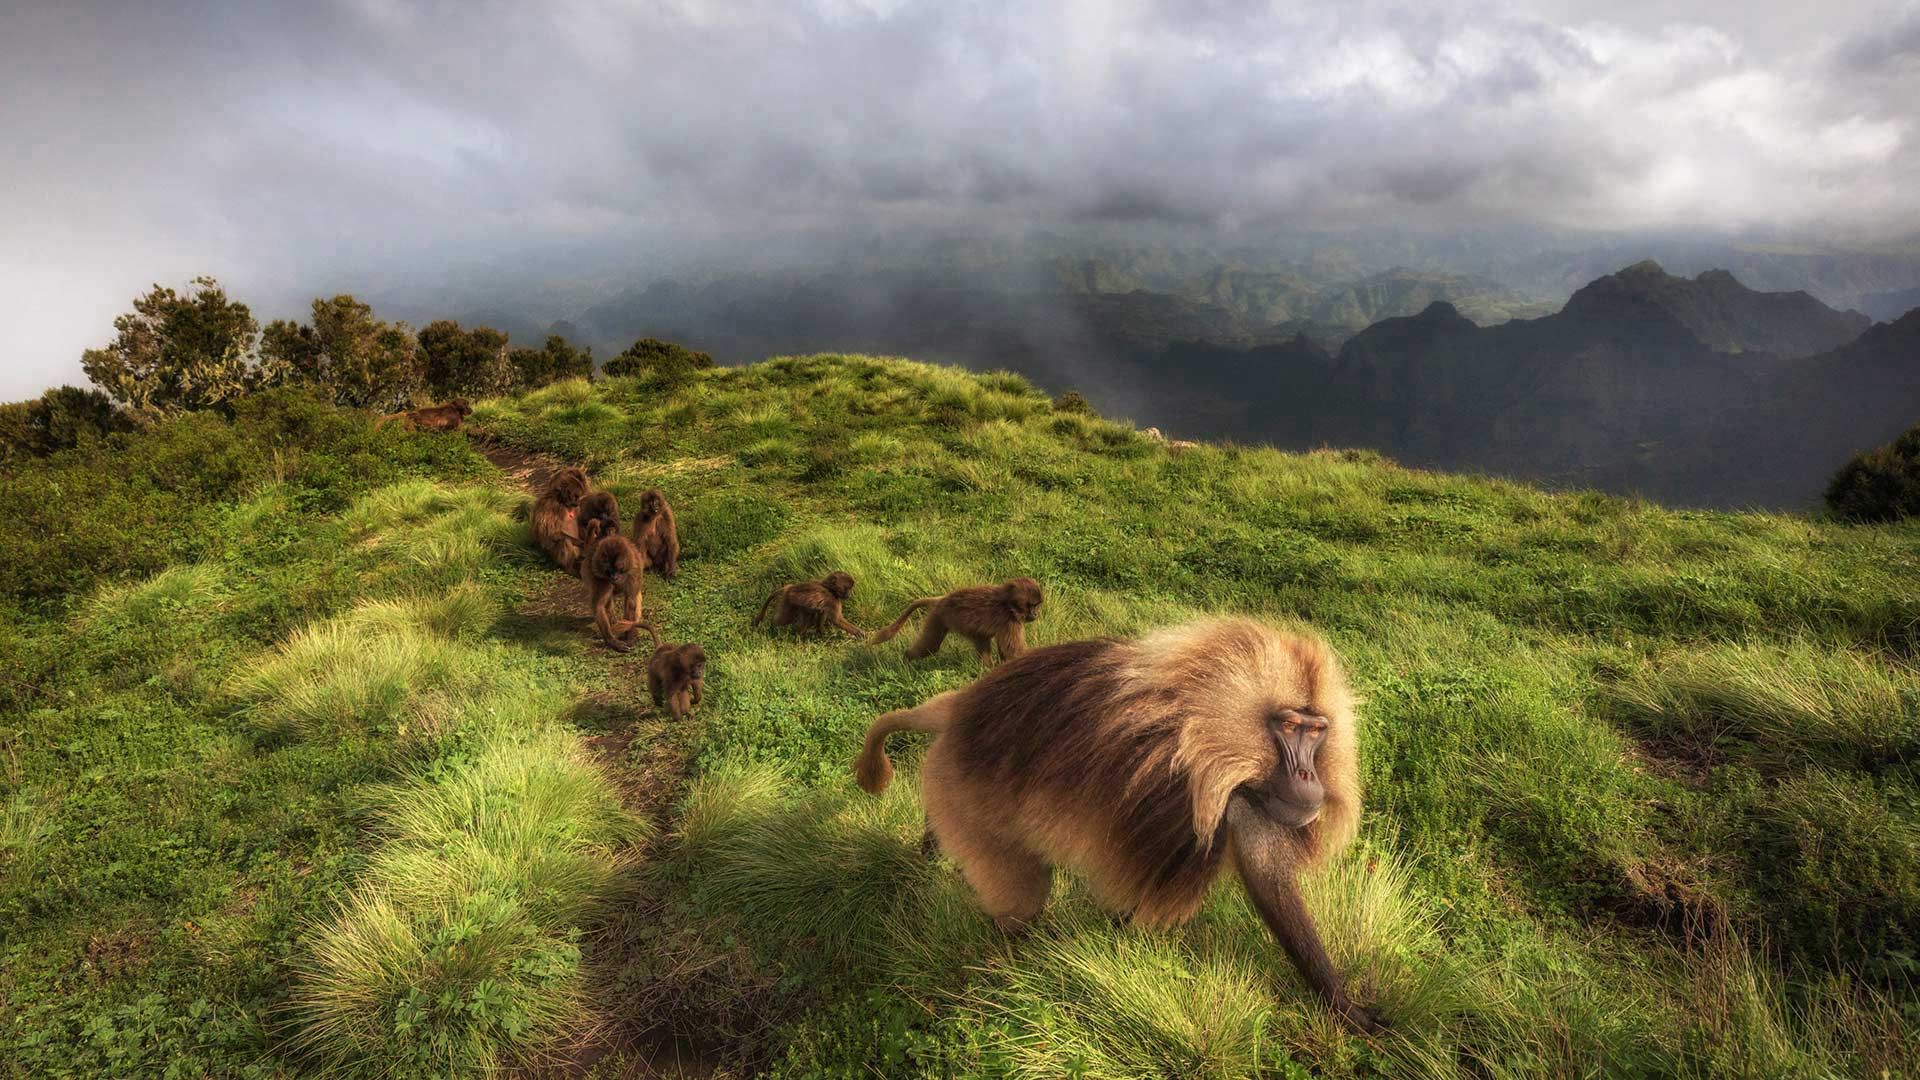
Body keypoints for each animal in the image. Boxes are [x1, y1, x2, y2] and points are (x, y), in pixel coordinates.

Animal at [578, 516, 644, 652]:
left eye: (619, 568)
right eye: (609, 570)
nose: (614, 576)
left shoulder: (634, 570)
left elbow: (631, 602)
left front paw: (630, 636)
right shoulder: (600, 577)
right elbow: (599, 607)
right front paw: (611, 641)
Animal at [853, 617, 1378, 1034]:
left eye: (1317, 731)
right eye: (1289, 727)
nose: (1308, 778)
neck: (1199, 719)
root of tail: (960, 706)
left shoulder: (1246, 791)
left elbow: (1266, 874)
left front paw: (1344, 1007)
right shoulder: (1192, 788)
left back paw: (928, 853)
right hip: (965, 797)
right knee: (1020, 906)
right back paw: (1009, 977)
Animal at [868, 578, 1042, 665]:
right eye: (1032, 606)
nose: (1035, 615)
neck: (1007, 603)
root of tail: (942, 599)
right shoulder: (1009, 621)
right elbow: (1014, 653)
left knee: (981, 638)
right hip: (940, 617)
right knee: (930, 646)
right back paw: (906, 659)